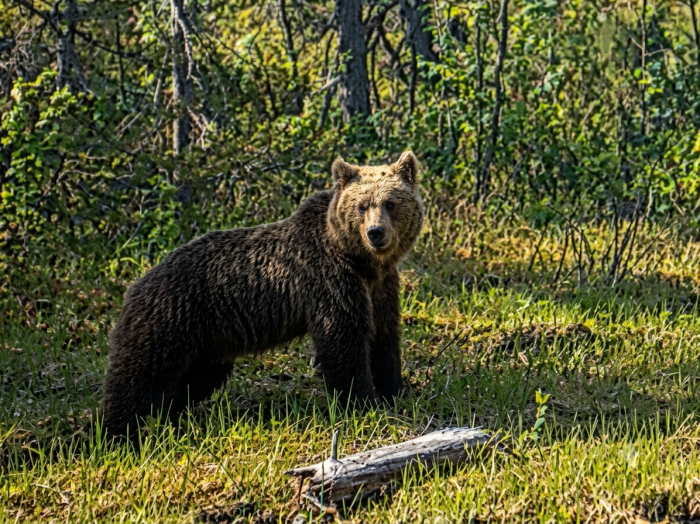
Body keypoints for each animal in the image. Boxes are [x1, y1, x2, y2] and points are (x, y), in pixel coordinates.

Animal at [102, 151, 424, 436]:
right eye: (361, 206)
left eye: (391, 203)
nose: (375, 232)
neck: (361, 261)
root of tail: (134, 287)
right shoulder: (330, 280)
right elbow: (343, 340)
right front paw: (364, 403)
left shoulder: (380, 285)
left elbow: (383, 335)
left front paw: (394, 390)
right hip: (167, 321)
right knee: (138, 378)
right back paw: (115, 434)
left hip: (207, 345)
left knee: (192, 382)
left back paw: (169, 416)